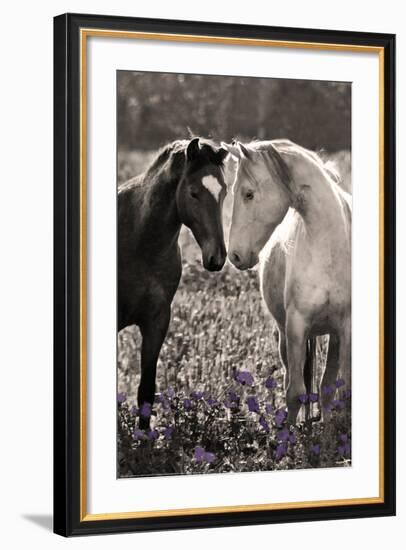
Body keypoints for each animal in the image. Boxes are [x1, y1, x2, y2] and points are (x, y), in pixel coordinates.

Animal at [118, 139, 228, 432]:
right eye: (193, 193)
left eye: (224, 192)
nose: (217, 257)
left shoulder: (157, 320)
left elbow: (146, 390)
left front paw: (144, 437)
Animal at [222, 140, 352, 424]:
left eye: (248, 194)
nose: (234, 255)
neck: (330, 248)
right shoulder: (296, 326)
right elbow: (295, 393)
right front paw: (287, 435)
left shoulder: (346, 328)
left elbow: (341, 390)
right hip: (284, 334)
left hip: (333, 336)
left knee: (327, 388)